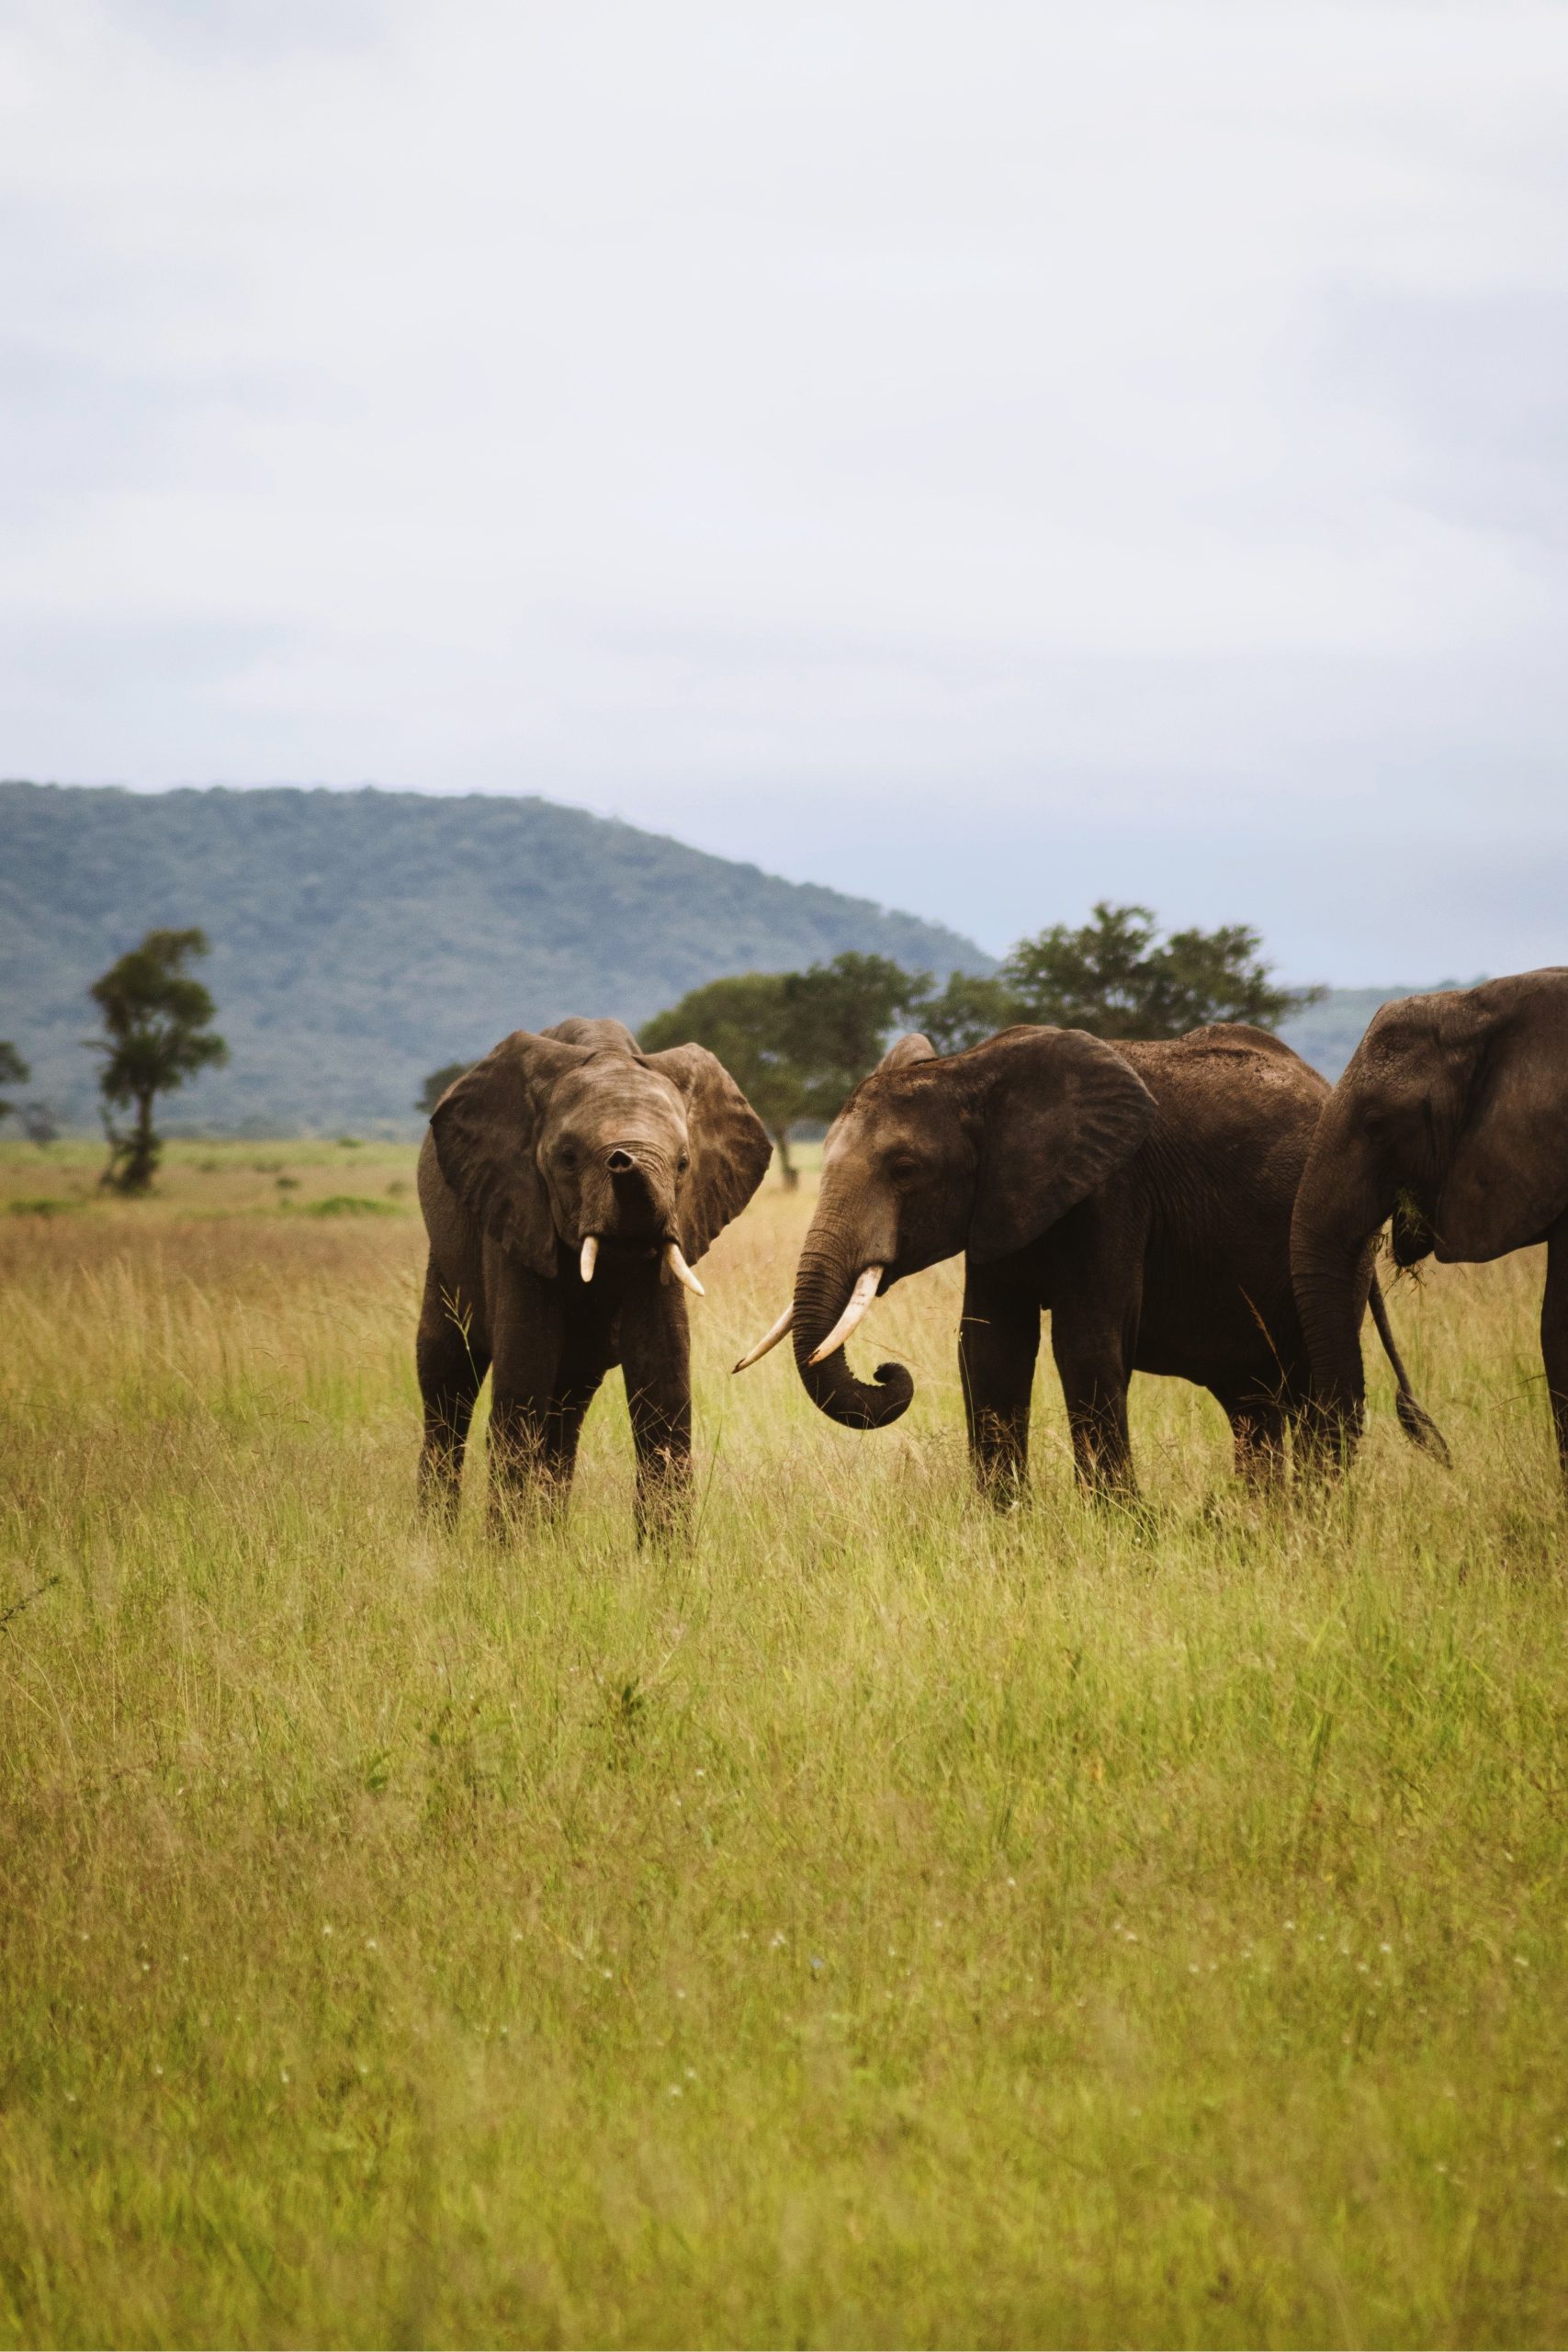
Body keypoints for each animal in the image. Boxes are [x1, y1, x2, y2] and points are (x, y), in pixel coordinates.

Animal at [417, 1017, 771, 1536]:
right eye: (567, 1158)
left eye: (683, 1163)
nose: (623, 1158)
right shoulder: (517, 1214)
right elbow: (523, 1379)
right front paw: (505, 1554)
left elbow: (664, 1386)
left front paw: (666, 1558)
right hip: (445, 1257)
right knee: (447, 1383)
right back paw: (436, 1538)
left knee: (567, 1408)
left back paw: (551, 1538)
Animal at [736, 1022, 1443, 1498]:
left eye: (905, 1169)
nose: (888, 1371)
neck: (970, 1072)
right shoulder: (1001, 1203)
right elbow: (990, 1347)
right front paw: (1003, 1527)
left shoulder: (1112, 1192)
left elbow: (1084, 1343)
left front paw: (1122, 1529)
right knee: (1256, 1402)